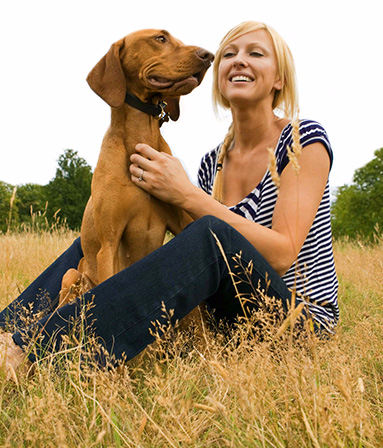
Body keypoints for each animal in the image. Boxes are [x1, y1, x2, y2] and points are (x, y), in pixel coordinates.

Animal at [59, 29, 214, 306]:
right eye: (160, 38)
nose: (209, 55)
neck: (141, 137)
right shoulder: (109, 245)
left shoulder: (183, 227)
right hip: (71, 275)